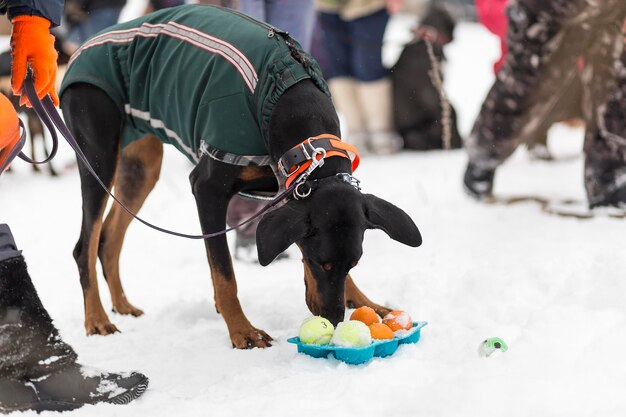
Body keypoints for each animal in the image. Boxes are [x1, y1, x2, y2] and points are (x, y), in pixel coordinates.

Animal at [59, 5, 420, 348]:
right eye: (321, 263)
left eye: (352, 264)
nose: (332, 319)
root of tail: (81, 48)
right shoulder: (208, 189)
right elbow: (224, 272)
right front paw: (242, 331)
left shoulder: (286, 188)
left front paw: (365, 302)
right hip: (98, 154)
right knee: (83, 245)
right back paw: (97, 319)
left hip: (140, 167)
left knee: (108, 239)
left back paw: (122, 306)